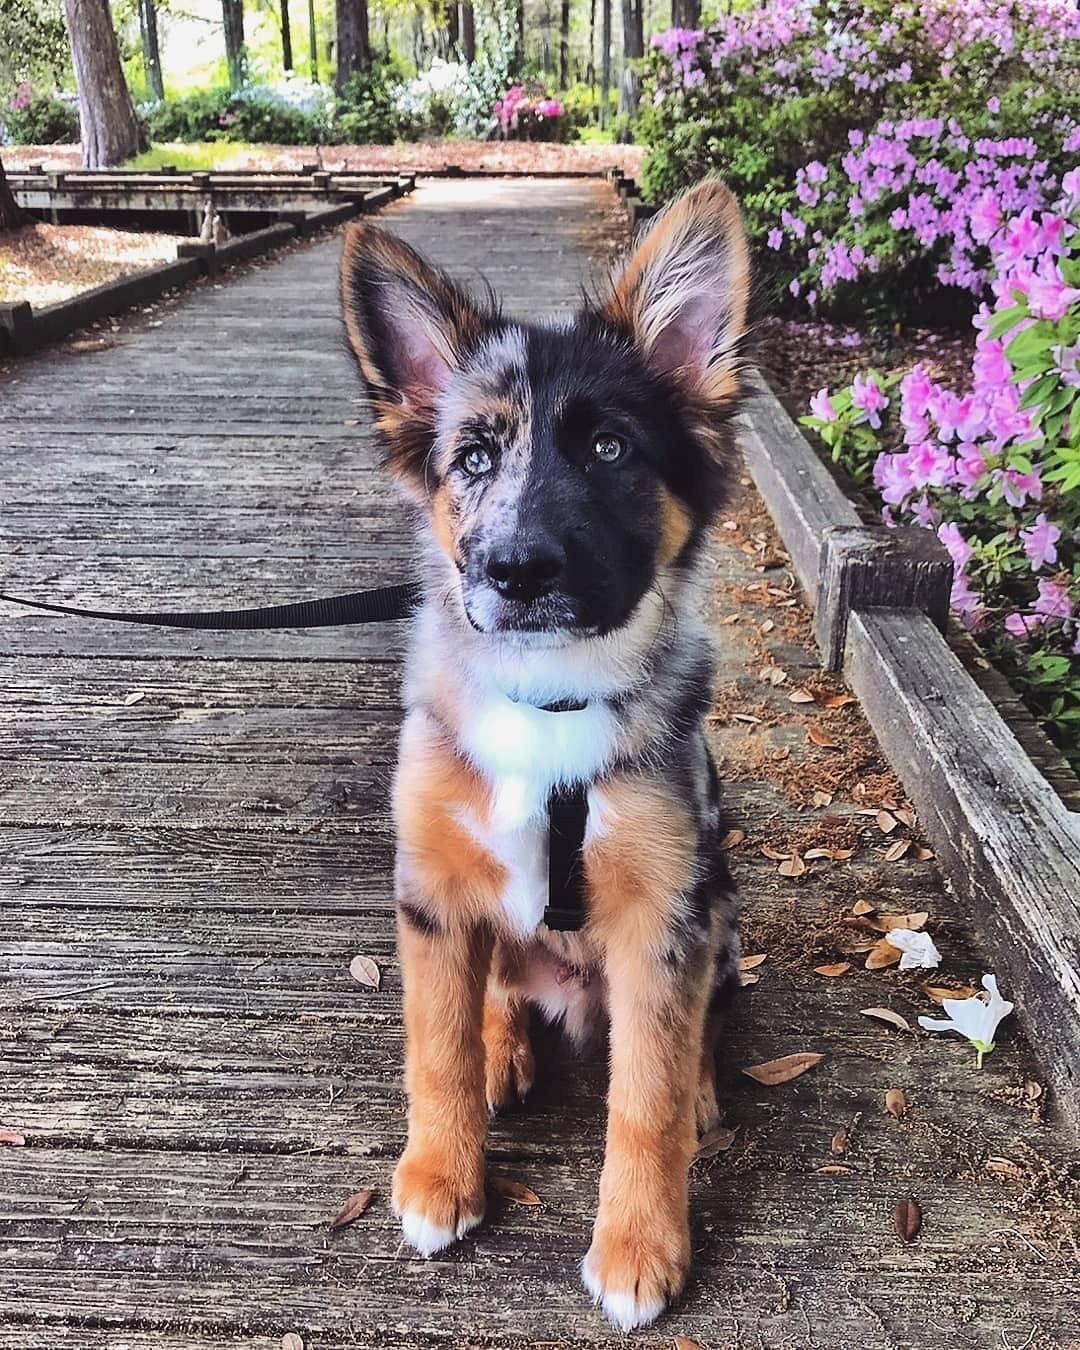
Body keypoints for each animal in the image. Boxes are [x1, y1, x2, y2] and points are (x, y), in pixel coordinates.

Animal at [341, 179, 745, 1328]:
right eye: (473, 458)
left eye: (610, 450)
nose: (515, 572)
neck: (549, 698)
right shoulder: (430, 889)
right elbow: (433, 1046)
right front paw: (441, 1176)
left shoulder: (664, 915)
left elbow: (646, 1097)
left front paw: (640, 1247)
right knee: (493, 992)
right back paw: (503, 1049)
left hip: (719, 906)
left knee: (696, 1024)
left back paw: (702, 1082)